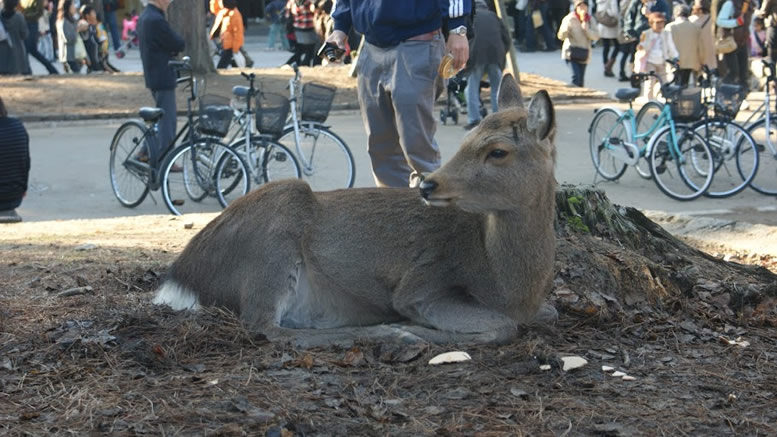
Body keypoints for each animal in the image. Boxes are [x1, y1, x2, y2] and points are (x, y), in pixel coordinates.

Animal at [153, 74, 558, 347]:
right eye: (468, 138)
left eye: (498, 151)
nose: (427, 185)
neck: (507, 286)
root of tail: (183, 276)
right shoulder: (421, 283)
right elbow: (501, 327)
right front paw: (413, 330)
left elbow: (549, 312)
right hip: (273, 236)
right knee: (264, 325)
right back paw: (388, 332)